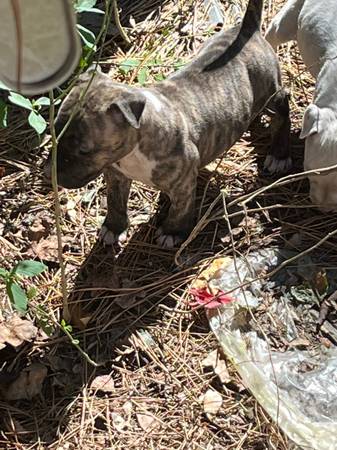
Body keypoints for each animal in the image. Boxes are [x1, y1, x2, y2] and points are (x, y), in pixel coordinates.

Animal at [45, 0, 292, 248]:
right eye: (55, 134)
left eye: (84, 150)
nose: (49, 173)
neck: (137, 147)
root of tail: (247, 30)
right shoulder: (116, 174)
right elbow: (115, 200)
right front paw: (114, 227)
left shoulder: (183, 184)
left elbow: (180, 209)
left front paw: (173, 232)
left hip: (271, 90)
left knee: (283, 106)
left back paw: (279, 154)